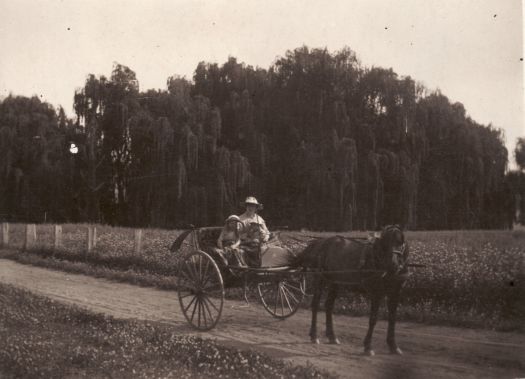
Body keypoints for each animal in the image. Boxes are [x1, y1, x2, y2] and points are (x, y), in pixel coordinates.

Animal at [292, 227, 408, 358]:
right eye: (385, 243)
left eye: (400, 242)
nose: (393, 264)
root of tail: (319, 242)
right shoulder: (376, 292)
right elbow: (373, 319)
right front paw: (368, 347)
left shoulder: (395, 293)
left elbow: (392, 318)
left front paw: (394, 346)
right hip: (320, 279)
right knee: (315, 304)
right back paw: (314, 335)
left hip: (335, 282)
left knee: (329, 306)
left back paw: (332, 336)